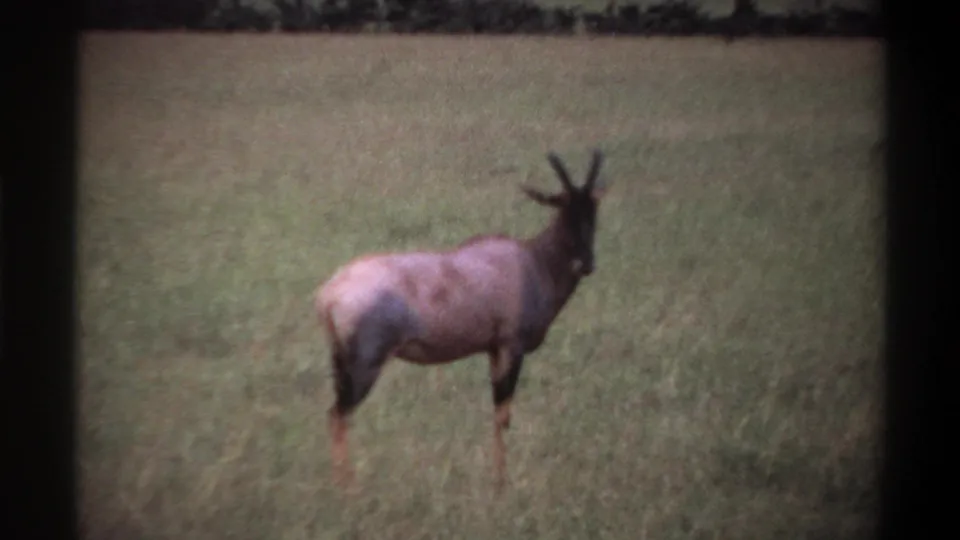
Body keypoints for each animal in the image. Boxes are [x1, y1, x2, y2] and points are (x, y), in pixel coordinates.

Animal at [314, 149, 609, 490]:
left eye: (593, 210)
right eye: (562, 208)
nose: (586, 264)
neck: (532, 261)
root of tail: (330, 294)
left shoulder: (493, 349)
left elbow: (499, 413)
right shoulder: (511, 347)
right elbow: (503, 413)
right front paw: (500, 483)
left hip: (341, 363)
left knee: (336, 415)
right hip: (365, 365)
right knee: (339, 415)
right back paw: (348, 489)